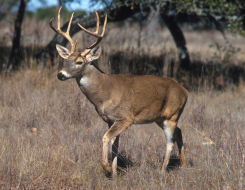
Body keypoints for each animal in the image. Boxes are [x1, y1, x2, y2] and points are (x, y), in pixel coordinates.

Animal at [49, 7, 188, 177]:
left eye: (79, 62)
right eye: (66, 60)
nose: (60, 75)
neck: (105, 94)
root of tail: (185, 91)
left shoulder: (125, 118)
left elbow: (105, 138)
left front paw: (107, 168)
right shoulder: (110, 119)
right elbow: (115, 144)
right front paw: (114, 173)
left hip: (171, 115)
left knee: (170, 141)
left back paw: (162, 171)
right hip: (160, 117)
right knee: (179, 132)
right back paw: (183, 165)